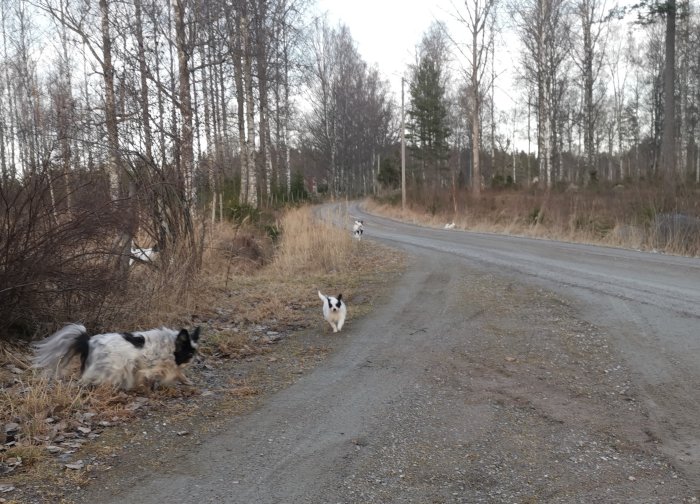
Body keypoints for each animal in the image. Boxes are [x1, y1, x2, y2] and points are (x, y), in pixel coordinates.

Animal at [33, 322, 201, 390]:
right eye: (189, 353)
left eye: (194, 352)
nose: (195, 359)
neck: (169, 344)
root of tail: (88, 341)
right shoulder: (151, 366)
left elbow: (178, 373)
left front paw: (187, 381)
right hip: (112, 367)